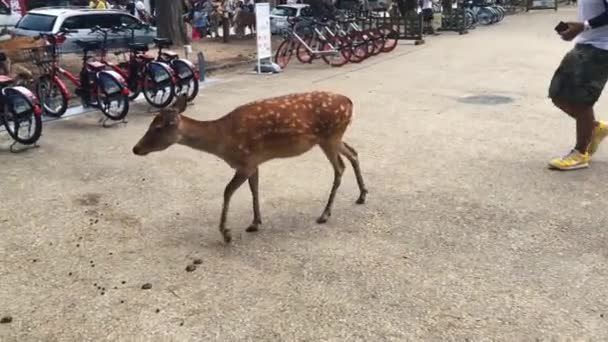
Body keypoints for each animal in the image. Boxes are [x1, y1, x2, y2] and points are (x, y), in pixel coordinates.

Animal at [133, 91, 368, 243]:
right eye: (151, 124)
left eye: (157, 127)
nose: (136, 148)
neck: (223, 141)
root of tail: (349, 102)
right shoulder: (254, 162)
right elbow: (254, 188)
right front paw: (255, 222)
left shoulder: (245, 162)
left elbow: (227, 191)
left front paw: (226, 233)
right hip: (333, 138)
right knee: (353, 153)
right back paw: (362, 195)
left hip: (330, 136)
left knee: (340, 167)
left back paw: (325, 214)